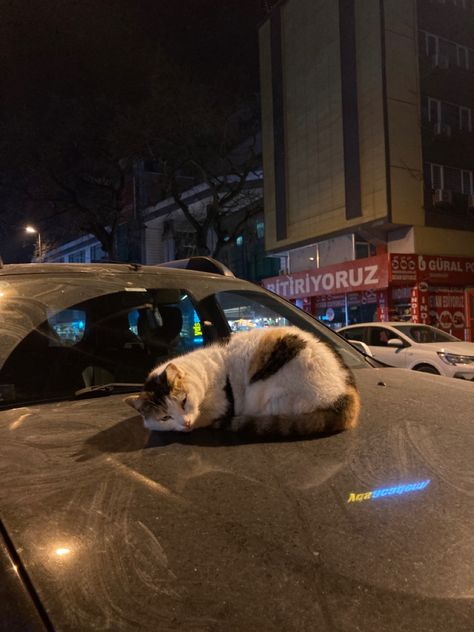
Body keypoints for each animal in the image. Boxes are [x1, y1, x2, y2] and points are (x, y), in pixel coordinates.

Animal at [124, 324, 362, 436]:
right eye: (164, 418)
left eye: (184, 401)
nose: (186, 423)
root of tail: (347, 394)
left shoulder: (221, 406)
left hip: (270, 394)